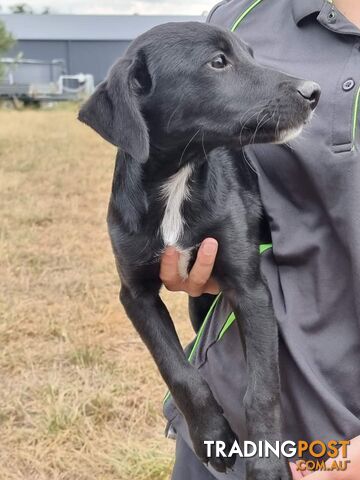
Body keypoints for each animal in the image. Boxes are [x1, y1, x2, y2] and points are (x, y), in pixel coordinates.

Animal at [78, 20, 318, 478]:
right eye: (218, 62)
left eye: (251, 55)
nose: (313, 91)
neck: (178, 178)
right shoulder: (135, 294)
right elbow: (177, 369)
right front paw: (212, 436)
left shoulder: (249, 288)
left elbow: (262, 387)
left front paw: (266, 463)